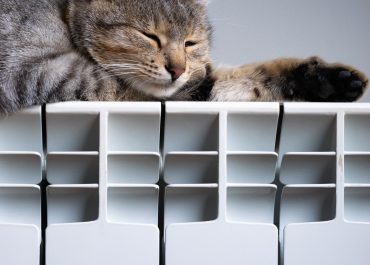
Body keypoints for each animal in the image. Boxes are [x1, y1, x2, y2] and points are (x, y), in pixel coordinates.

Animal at [0, 0, 368, 112]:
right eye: (149, 35)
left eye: (190, 42)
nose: (178, 69)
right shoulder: (37, 68)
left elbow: (235, 80)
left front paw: (325, 81)